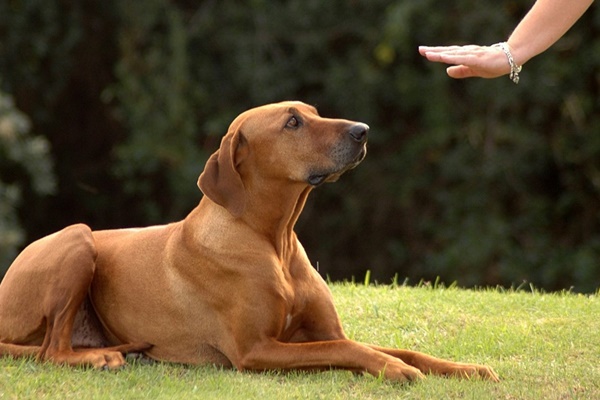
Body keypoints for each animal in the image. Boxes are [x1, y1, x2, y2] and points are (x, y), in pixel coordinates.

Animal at [0, 101, 496, 382]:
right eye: (293, 123)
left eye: (314, 112)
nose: (363, 130)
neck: (274, 241)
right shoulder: (256, 350)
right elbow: (348, 349)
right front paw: (395, 370)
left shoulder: (320, 331)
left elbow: (394, 347)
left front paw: (464, 368)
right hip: (77, 238)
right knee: (49, 352)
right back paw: (100, 359)